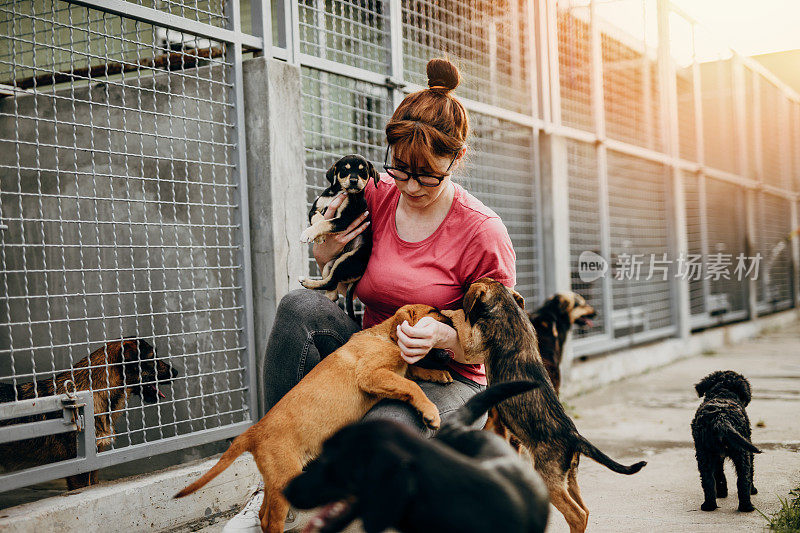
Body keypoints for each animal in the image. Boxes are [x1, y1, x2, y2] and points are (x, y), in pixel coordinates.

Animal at [298, 154, 380, 310]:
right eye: (345, 169)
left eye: (363, 171)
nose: (353, 181)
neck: (339, 192)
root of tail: (359, 275)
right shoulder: (315, 209)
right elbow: (319, 218)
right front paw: (319, 237)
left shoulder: (345, 219)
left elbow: (325, 222)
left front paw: (309, 233)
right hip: (329, 265)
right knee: (332, 287)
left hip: (346, 261)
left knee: (331, 282)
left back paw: (307, 282)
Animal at [454, 278, 648, 532]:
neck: (507, 308)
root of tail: (575, 436)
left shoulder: (473, 346)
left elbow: (461, 325)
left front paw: (450, 313)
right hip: (569, 477)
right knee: (585, 510)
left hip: (549, 479)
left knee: (577, 514)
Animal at [692, 370, 760, 512]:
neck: (722, 392)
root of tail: (721, 417)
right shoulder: (747, 445)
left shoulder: (717, 456)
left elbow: (719, 474)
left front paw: (722, 493)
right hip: (741, 452)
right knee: (743, 478)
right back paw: (747, 506)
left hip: (704, 453)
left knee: (708, 479)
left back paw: (709, 505)